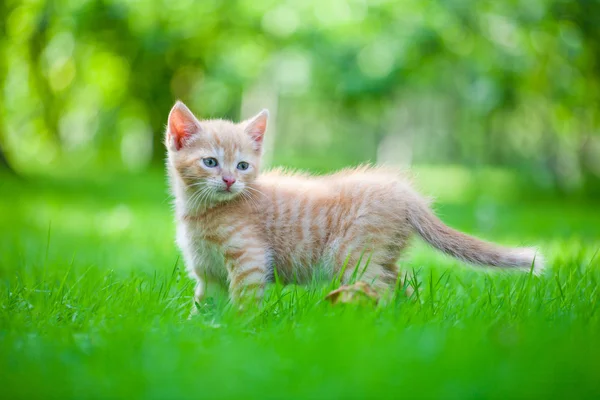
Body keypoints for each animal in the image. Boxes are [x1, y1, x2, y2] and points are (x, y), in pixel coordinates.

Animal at [164, 101, 544, 306]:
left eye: (243, 166)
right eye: (210, 162)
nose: (230, 181)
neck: (199, 211)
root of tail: (405, 192)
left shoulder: (250, 260)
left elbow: (243, 304)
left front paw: (240, 331)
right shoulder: (208, 275)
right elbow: (202, 308)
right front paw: (198, 333)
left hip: (353, 256)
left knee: (383, 291)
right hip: (380, 257)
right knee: (402, 287)